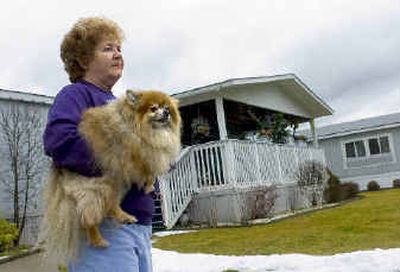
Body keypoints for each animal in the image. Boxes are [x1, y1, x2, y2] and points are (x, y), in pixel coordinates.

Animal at [39, 90, 180, 262]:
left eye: (167, 108)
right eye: (153, 108)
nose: (166, 113)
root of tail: (60, 172)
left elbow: (151, 172)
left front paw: (149, 186)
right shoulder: (137, 154)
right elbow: (147, 171)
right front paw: (148, 185)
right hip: (105, 184)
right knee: (92, 215)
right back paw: (101, 238)